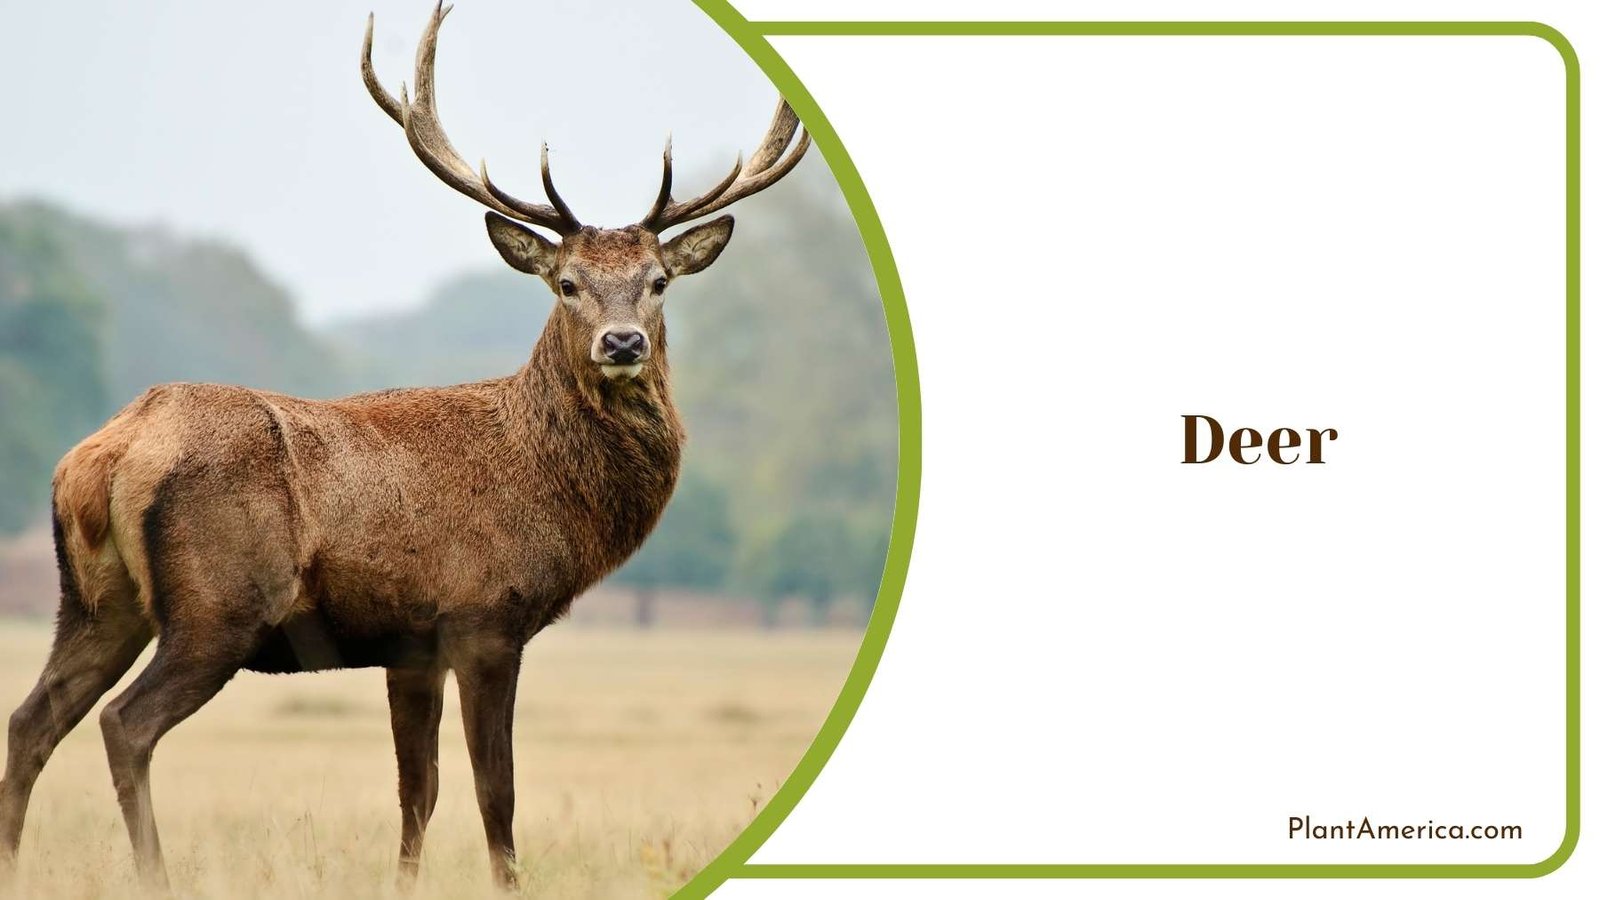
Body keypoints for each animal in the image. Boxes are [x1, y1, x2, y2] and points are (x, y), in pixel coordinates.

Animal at [0, 2, 809, 889]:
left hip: (96, 601)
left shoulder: (410, 646)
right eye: (566, 283)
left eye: (659, 281)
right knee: (124, 724)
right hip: (219, 604)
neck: (547, 487)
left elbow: (416, 791)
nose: (623, 342)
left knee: (30, 721)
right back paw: (156, 877)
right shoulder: (484, 615)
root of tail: (104, 455)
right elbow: (497, 792)